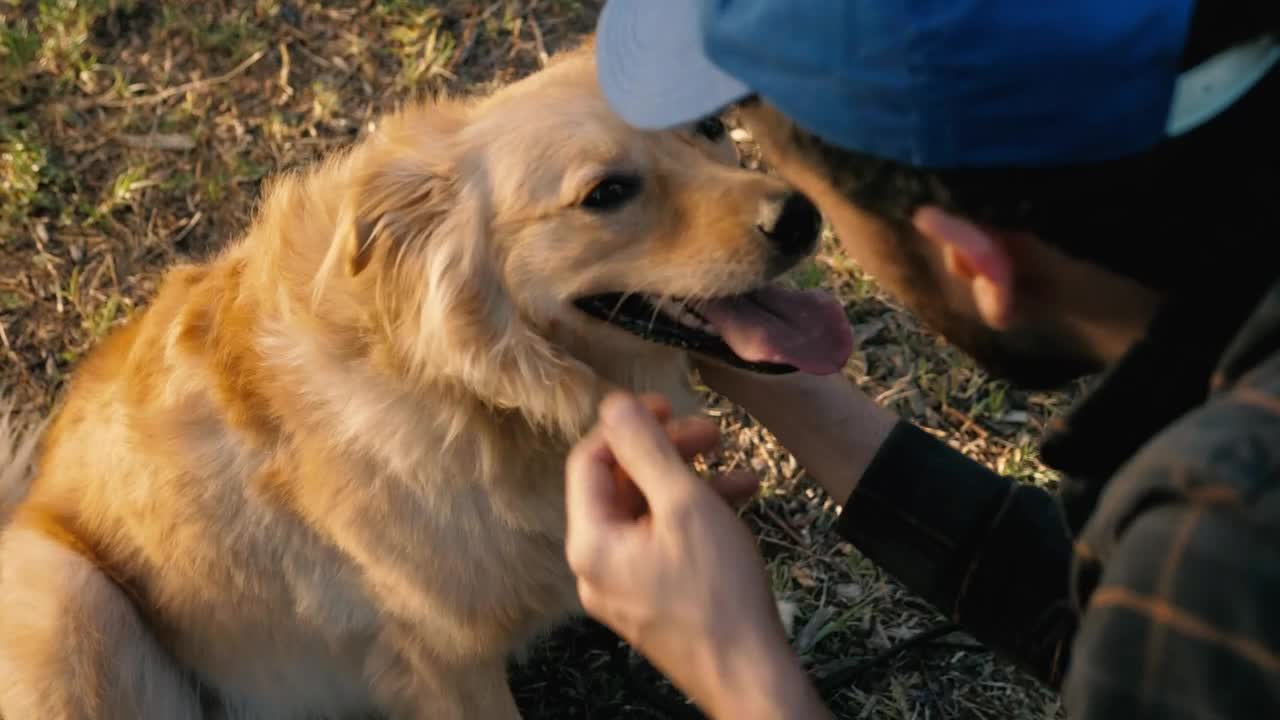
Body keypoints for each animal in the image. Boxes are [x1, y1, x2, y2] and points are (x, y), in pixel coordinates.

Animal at [2, 43, 860, 717]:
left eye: (711, 129)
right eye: (606, 193)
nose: (803, 217)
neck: (479, 388)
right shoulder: (440, 659)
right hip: (67, 593)